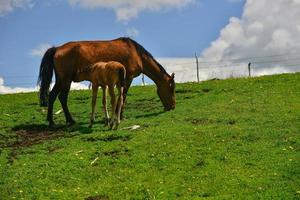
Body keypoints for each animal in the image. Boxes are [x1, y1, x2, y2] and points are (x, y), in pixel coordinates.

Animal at [38, 37, 177, 126]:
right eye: (172, 88)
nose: (172, 107)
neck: (136, 53)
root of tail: (57, 49)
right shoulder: (128, 78)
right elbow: (123, 96)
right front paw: (120, 115)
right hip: (66, 80)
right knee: (62, 97)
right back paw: (70, 120)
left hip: (60, 80)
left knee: (52, 96)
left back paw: (51, 121)